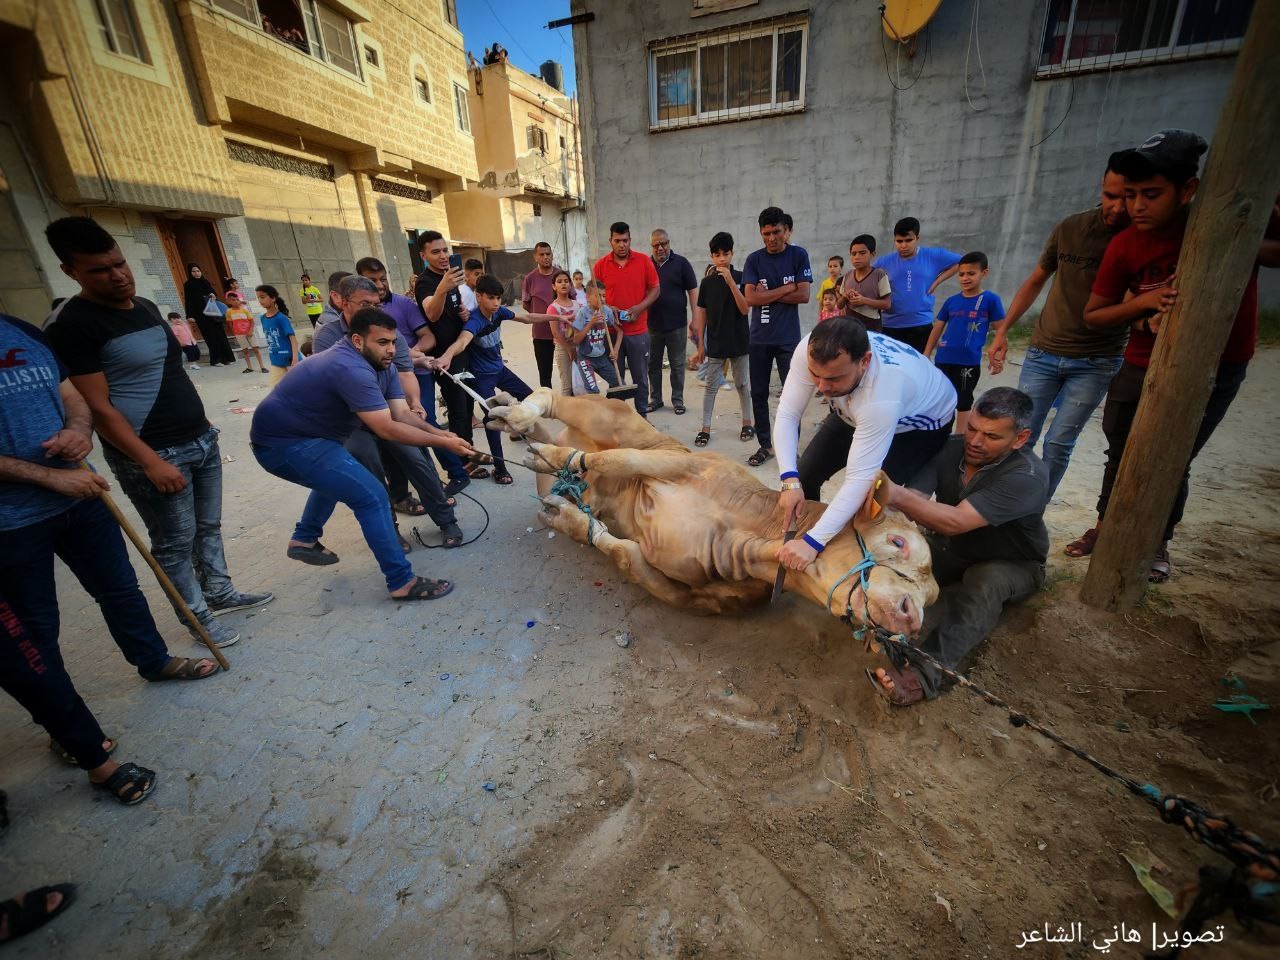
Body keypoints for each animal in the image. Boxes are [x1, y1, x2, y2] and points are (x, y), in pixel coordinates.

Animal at [483, 386, 936, 634]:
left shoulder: (698, 596)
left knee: (550, 433)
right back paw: (517, 418)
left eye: (931, 599)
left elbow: (625, 554)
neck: (756, 534)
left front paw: (568, 517)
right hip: (615, 418)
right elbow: (614, 461)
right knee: (554, 398)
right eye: (898, 541)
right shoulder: (681, 463)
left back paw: (519, 426)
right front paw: (550, 460)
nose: (910, 618)